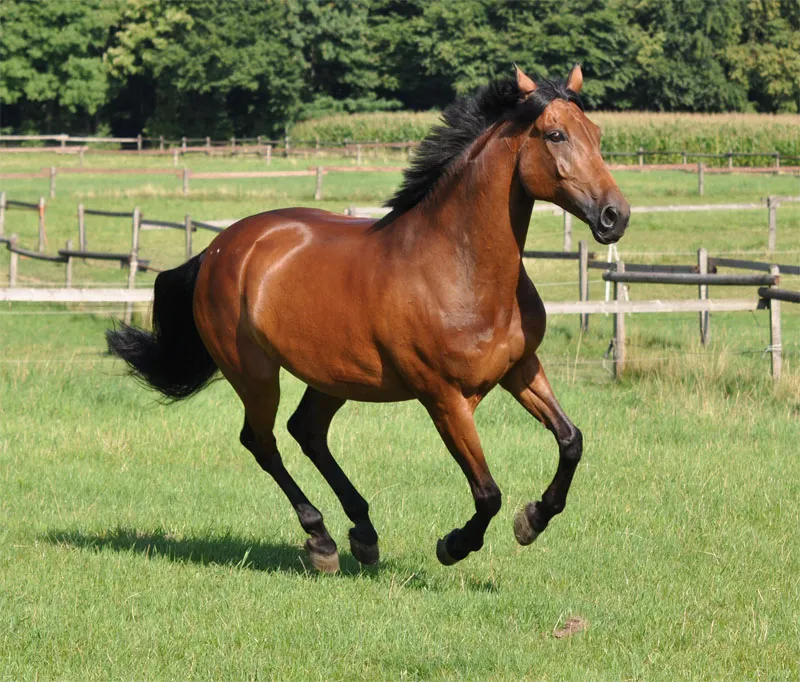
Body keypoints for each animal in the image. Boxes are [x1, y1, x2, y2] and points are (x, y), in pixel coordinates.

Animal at [108, 66, 632, 572]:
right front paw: (454, 545)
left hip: (333, 374)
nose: (615, 216)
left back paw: (362, 532)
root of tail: (219, 249)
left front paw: (533, 520)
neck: (459, 268)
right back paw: (321, 539)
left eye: (597, 133)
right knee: (262, 441)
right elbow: (487, 493)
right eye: (555, 134)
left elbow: (571, 440)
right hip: (254, 373)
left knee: (306, 431)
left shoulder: (520, 368)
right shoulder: (443, 398)